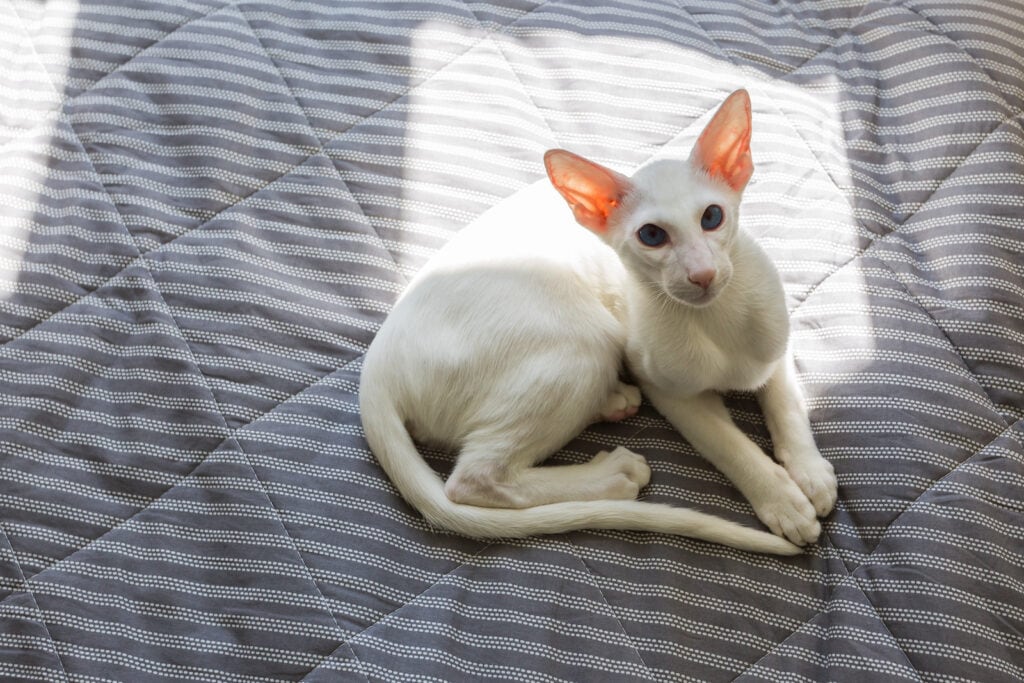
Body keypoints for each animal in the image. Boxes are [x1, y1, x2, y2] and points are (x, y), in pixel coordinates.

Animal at [356, 89, 835, 557]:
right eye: (652, 236)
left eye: (712, 217)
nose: (702, 275)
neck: (718, 319)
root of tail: (375, 366)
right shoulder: (669, 391)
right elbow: (731, 445)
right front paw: (783, 501)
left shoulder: (777, 344)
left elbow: (787, 405)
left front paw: (810, 474)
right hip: (584, 340)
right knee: (474, 478)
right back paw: (613, 472)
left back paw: (614, 402)